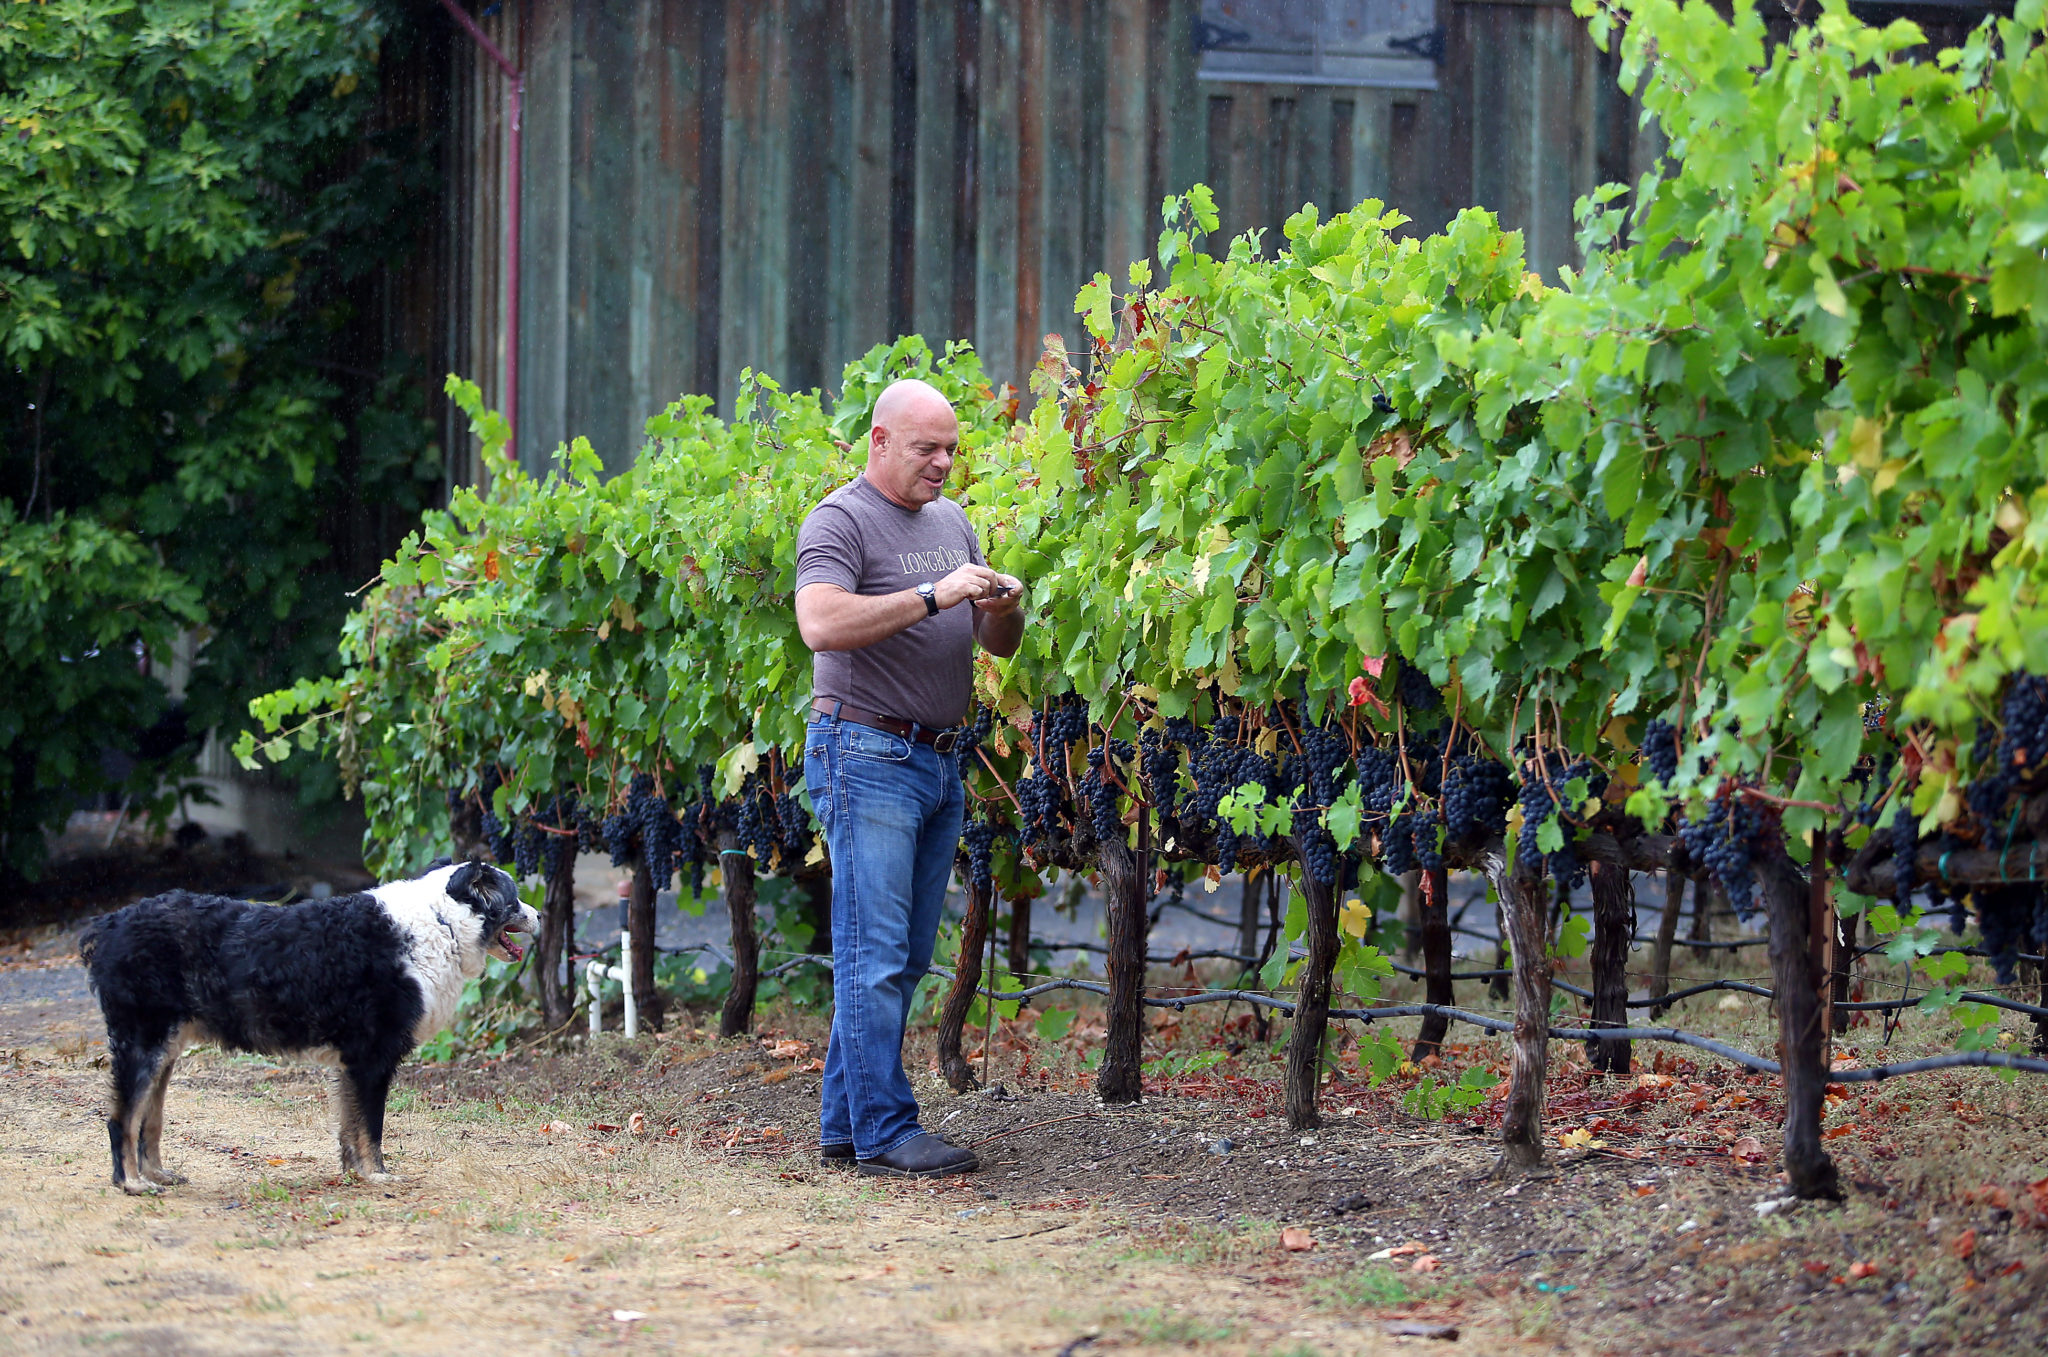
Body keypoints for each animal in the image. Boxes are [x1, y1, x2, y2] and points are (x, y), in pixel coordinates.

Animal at [79, 863, 536, 1195]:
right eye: (514, 898)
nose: (539, 914)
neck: (442, 923)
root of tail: (109, 923)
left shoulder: (352, 1064)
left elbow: (351, 1128)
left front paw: (355, 1173)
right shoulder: (371, 1058)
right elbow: (371, 1128)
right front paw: (377, 1175)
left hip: (164, 1052)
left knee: (148, 1121)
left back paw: (157, 1175)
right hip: (143, 1046)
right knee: (122, 1119)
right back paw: (132, 1183)